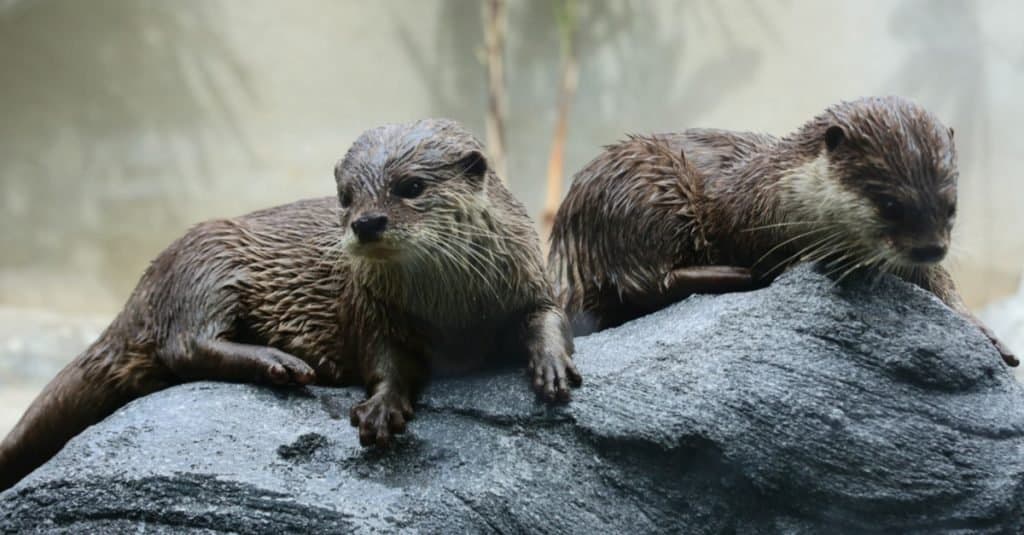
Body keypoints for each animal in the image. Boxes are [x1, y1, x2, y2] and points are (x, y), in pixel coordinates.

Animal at [0, 118, 581, 489]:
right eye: (346, 197)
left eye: (411, 186)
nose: (366, 222)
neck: (452, 311)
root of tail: (142, 288)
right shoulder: (370, 308)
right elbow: (385, 360)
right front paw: (381, 408)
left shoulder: (529, 272)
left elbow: (549, 315)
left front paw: (553, 367)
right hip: (208, 261)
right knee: (185, 343)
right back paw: (281, 363)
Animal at [548, 93, 1011, 364]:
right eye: (891, 205)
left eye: (951, 206)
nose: (930, 247)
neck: (779, 190)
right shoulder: (744, 214)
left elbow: (943, 288)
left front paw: (988, 335)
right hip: (645, 190)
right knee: (645, 283)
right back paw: (747, 275)